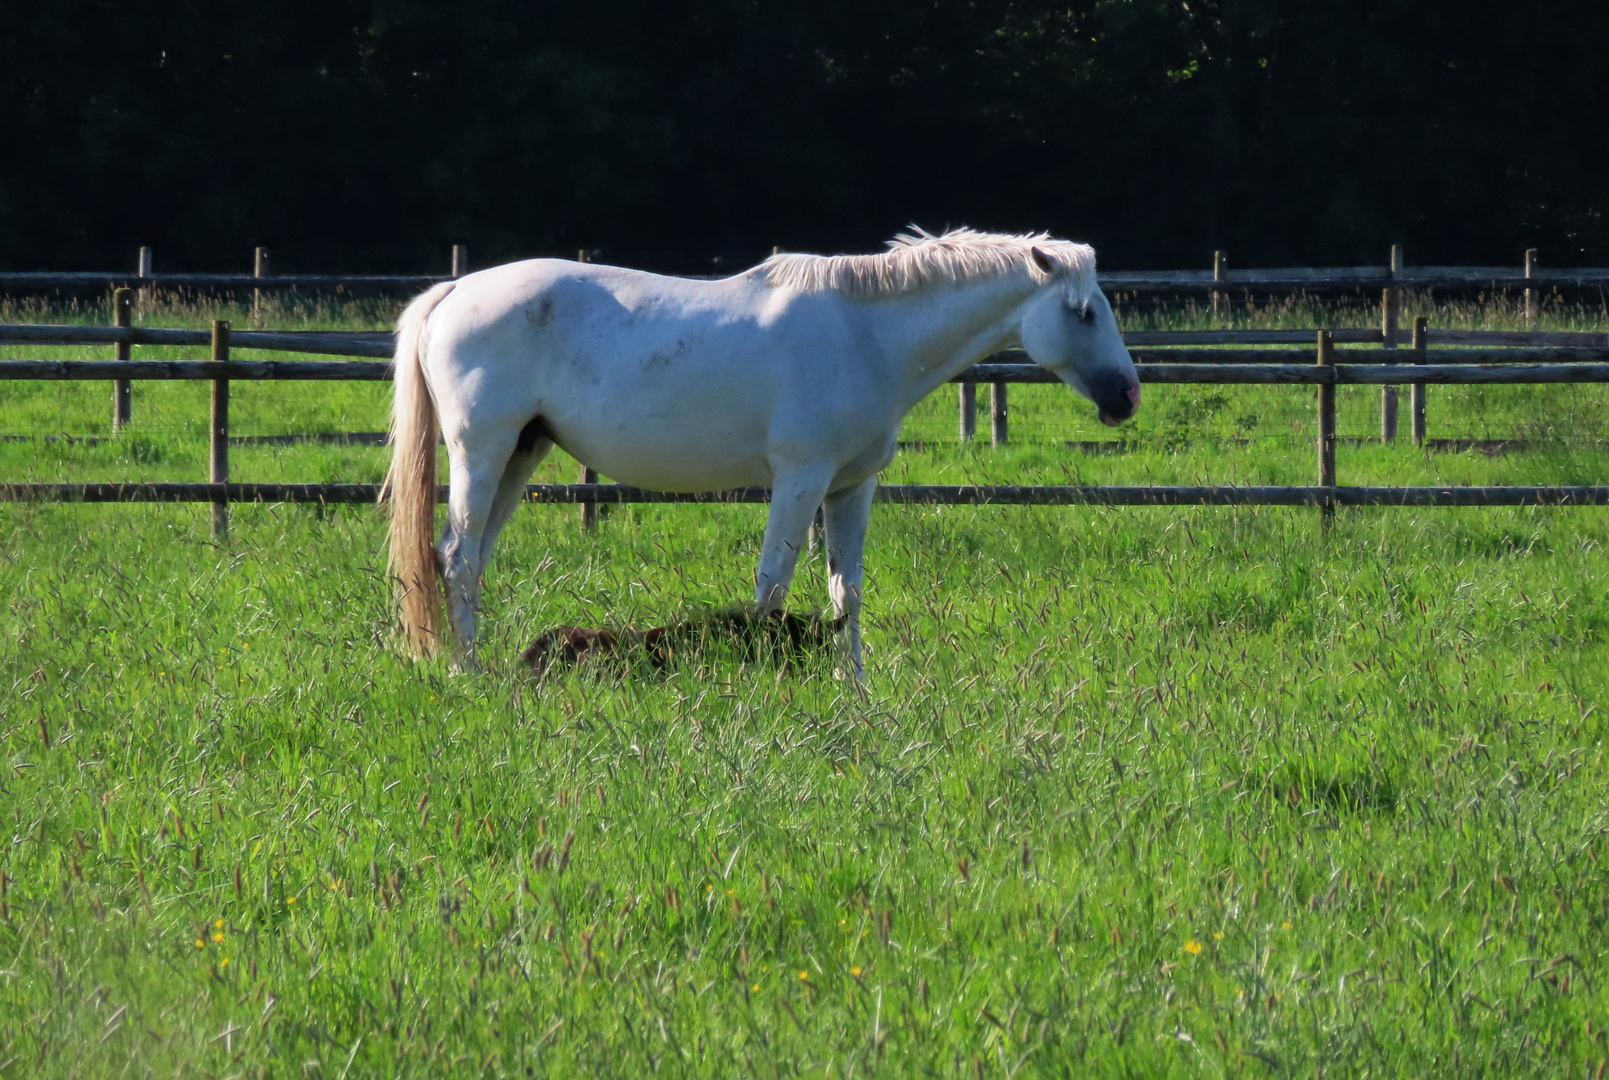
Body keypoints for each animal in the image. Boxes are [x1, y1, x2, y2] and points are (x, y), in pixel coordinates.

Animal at [386, 228, 1145, 676]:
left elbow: (846, 592)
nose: (1127, 394)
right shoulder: (800, 479)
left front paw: (854, 690)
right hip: (483, 453)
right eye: (1083, 312)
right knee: (458, 558)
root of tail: (454, 291)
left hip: (522, 454)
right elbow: (773, 584)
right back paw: (467, 674)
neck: (866, 337)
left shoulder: (850, 488)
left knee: (468, 560)